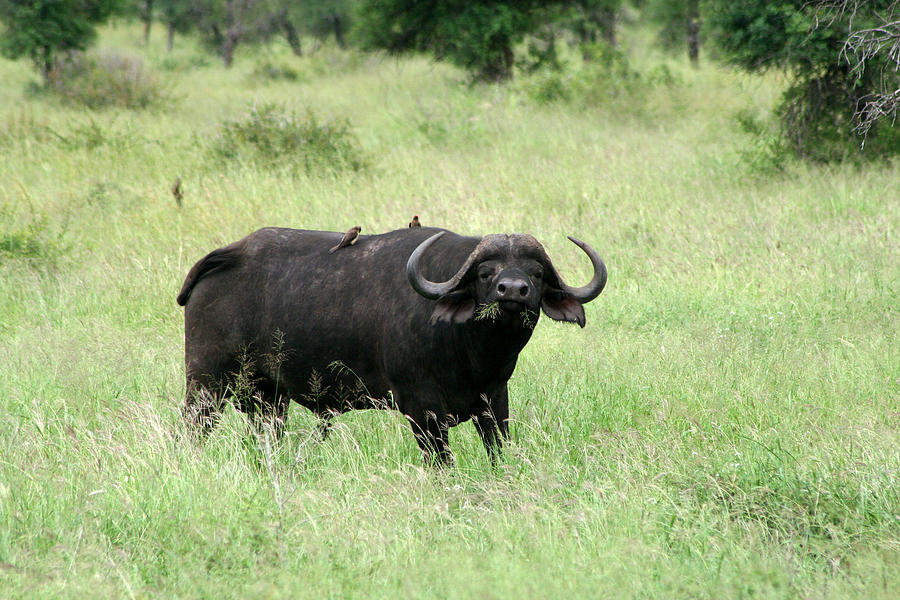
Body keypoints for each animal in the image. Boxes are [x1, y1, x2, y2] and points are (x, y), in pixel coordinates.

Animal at [178, 225, 608, 464]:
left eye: (536, 273)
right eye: (486, 272)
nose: (513, 290)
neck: (472, 353)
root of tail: (224, 256)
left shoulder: (494, 403)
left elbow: (498, 453)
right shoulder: (422, 411)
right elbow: (442, 464)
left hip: (267, 397)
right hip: (206, 385)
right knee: (192, 430)